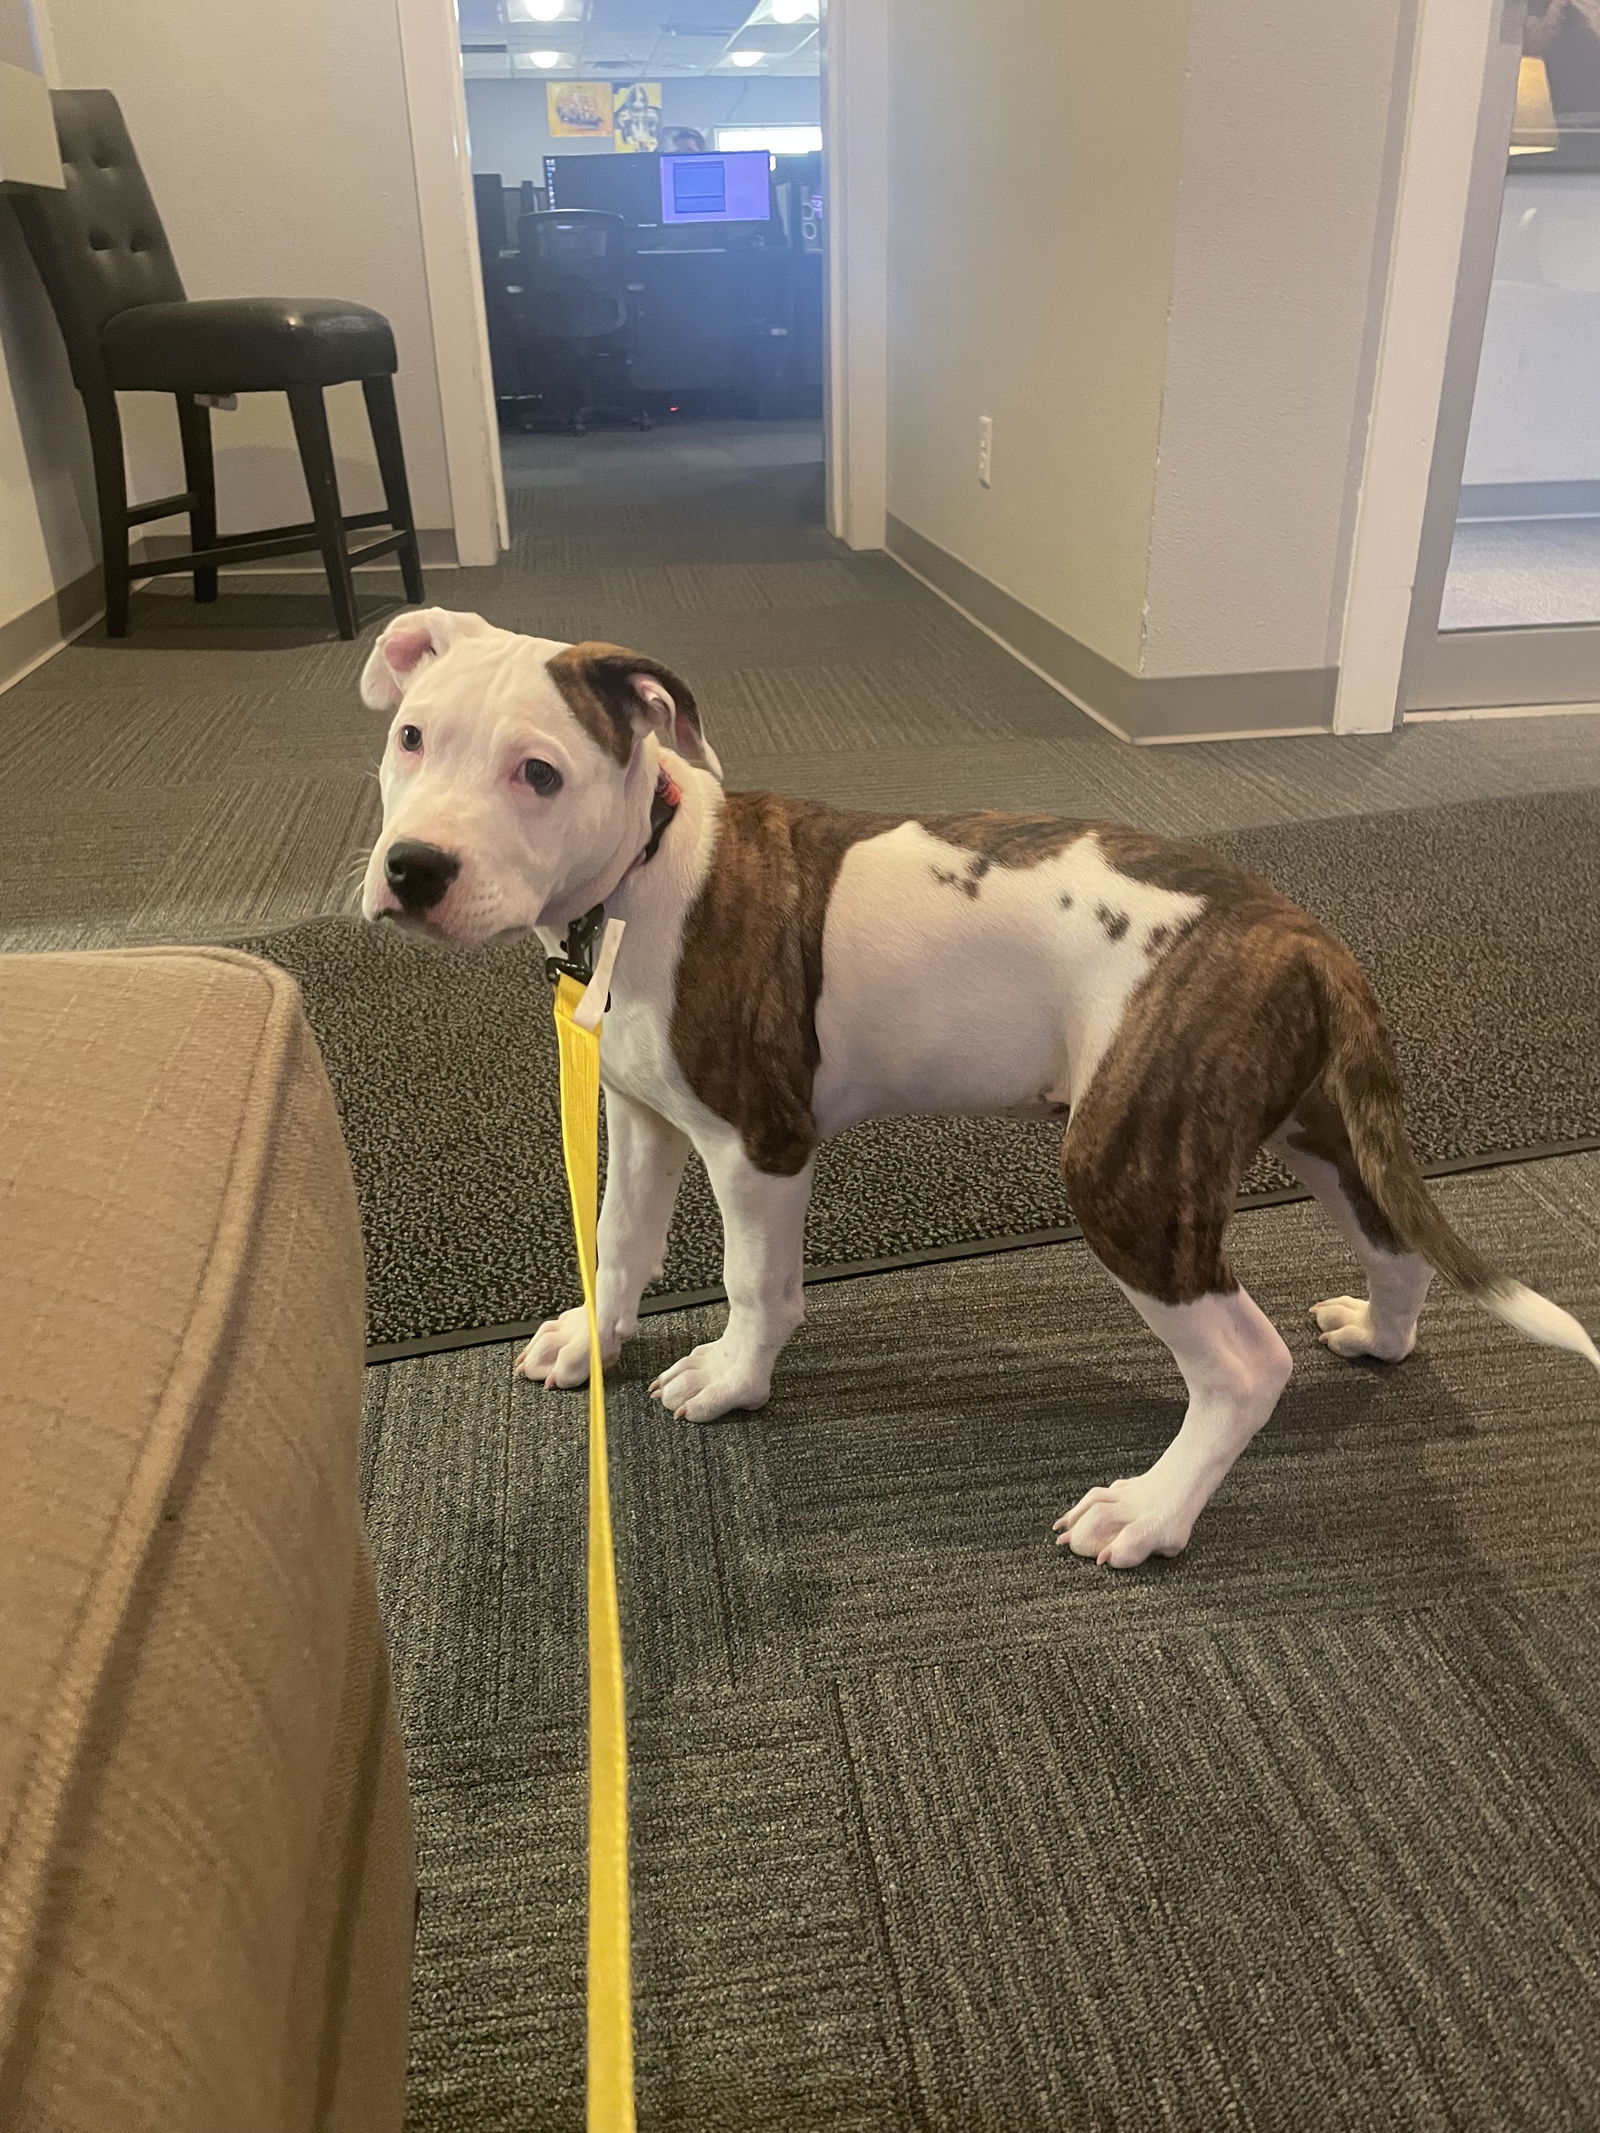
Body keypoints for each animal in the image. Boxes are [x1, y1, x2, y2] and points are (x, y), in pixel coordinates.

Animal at [362, 610, 1600, 1578]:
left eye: (538, 773)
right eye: (409, 738)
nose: (412, 868)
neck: (643, 871)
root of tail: (1304, 938)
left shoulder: (760, 1143)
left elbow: (755, 1283)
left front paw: (731, 1379)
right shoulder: (641, 1114)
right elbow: (618, 1239)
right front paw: (593, 1339)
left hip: (1126, 1170)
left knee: (1246, 1366)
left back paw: (1150, 1512)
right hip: (1316, 1128)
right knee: (1395, 1244)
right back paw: (1375, 1337)